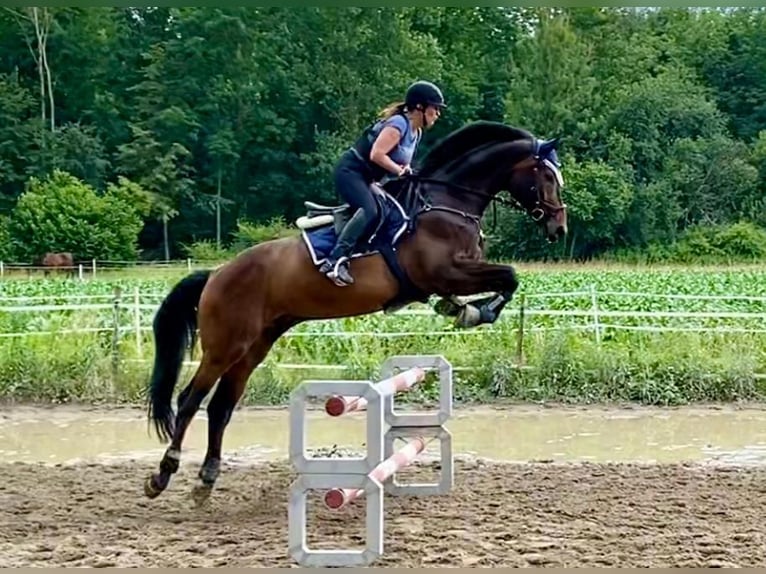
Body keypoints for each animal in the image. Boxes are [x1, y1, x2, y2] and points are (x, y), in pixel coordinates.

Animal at [144, 120, 568, 504]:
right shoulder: (445, 272)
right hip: (225, 345)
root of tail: (217, 274)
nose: (559, 227)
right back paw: (163, 474)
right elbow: (509, 276)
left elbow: (506, 280)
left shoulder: (455, 274)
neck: (447, 202)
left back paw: (206, 479)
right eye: (547, 175)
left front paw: (463, 310)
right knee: (190, 399)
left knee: (220, 407)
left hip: (255, 345)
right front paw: (476, 313)